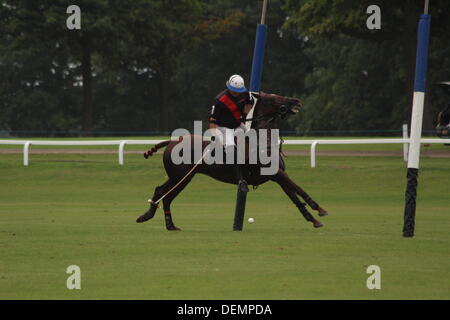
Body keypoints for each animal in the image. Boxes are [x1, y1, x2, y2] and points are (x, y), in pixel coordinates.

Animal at [136, 92, 326, 230]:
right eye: (272, 97)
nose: (296, 101)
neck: (262, 142)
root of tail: (172, 141)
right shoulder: (277, 174)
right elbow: (299, 188)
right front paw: (319, 209)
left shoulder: (278, 177)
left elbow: (295, 197)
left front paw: (313, 220)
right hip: (181, 177)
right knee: (165, 194)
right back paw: (161, 221)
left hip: (180, 177)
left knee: (161, 192)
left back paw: (156, 219)